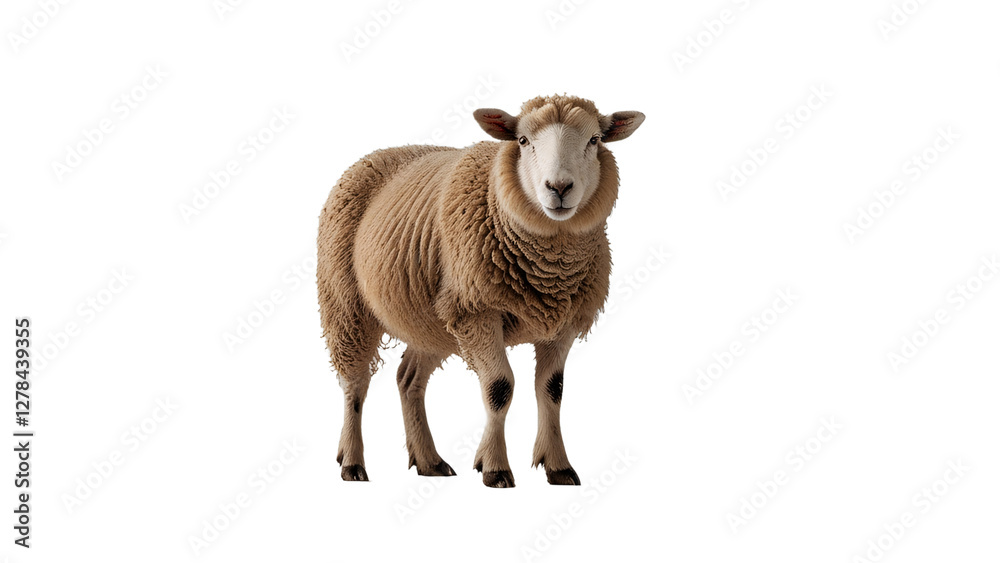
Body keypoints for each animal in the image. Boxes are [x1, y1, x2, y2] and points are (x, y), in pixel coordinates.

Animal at [317, 94, 644, 487]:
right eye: (522, 141)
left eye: (595, 140)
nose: (559, 188)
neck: (550, 271)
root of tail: (373, 156)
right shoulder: (478, 313)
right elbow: (500, 388)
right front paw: (495, 467)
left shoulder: (563, 323)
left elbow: (552, 391)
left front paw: (558, 467)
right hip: (346, 304)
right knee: (354, 385)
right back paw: (352, 463)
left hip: (431, 321)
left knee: (408, 380)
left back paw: (429, 461)